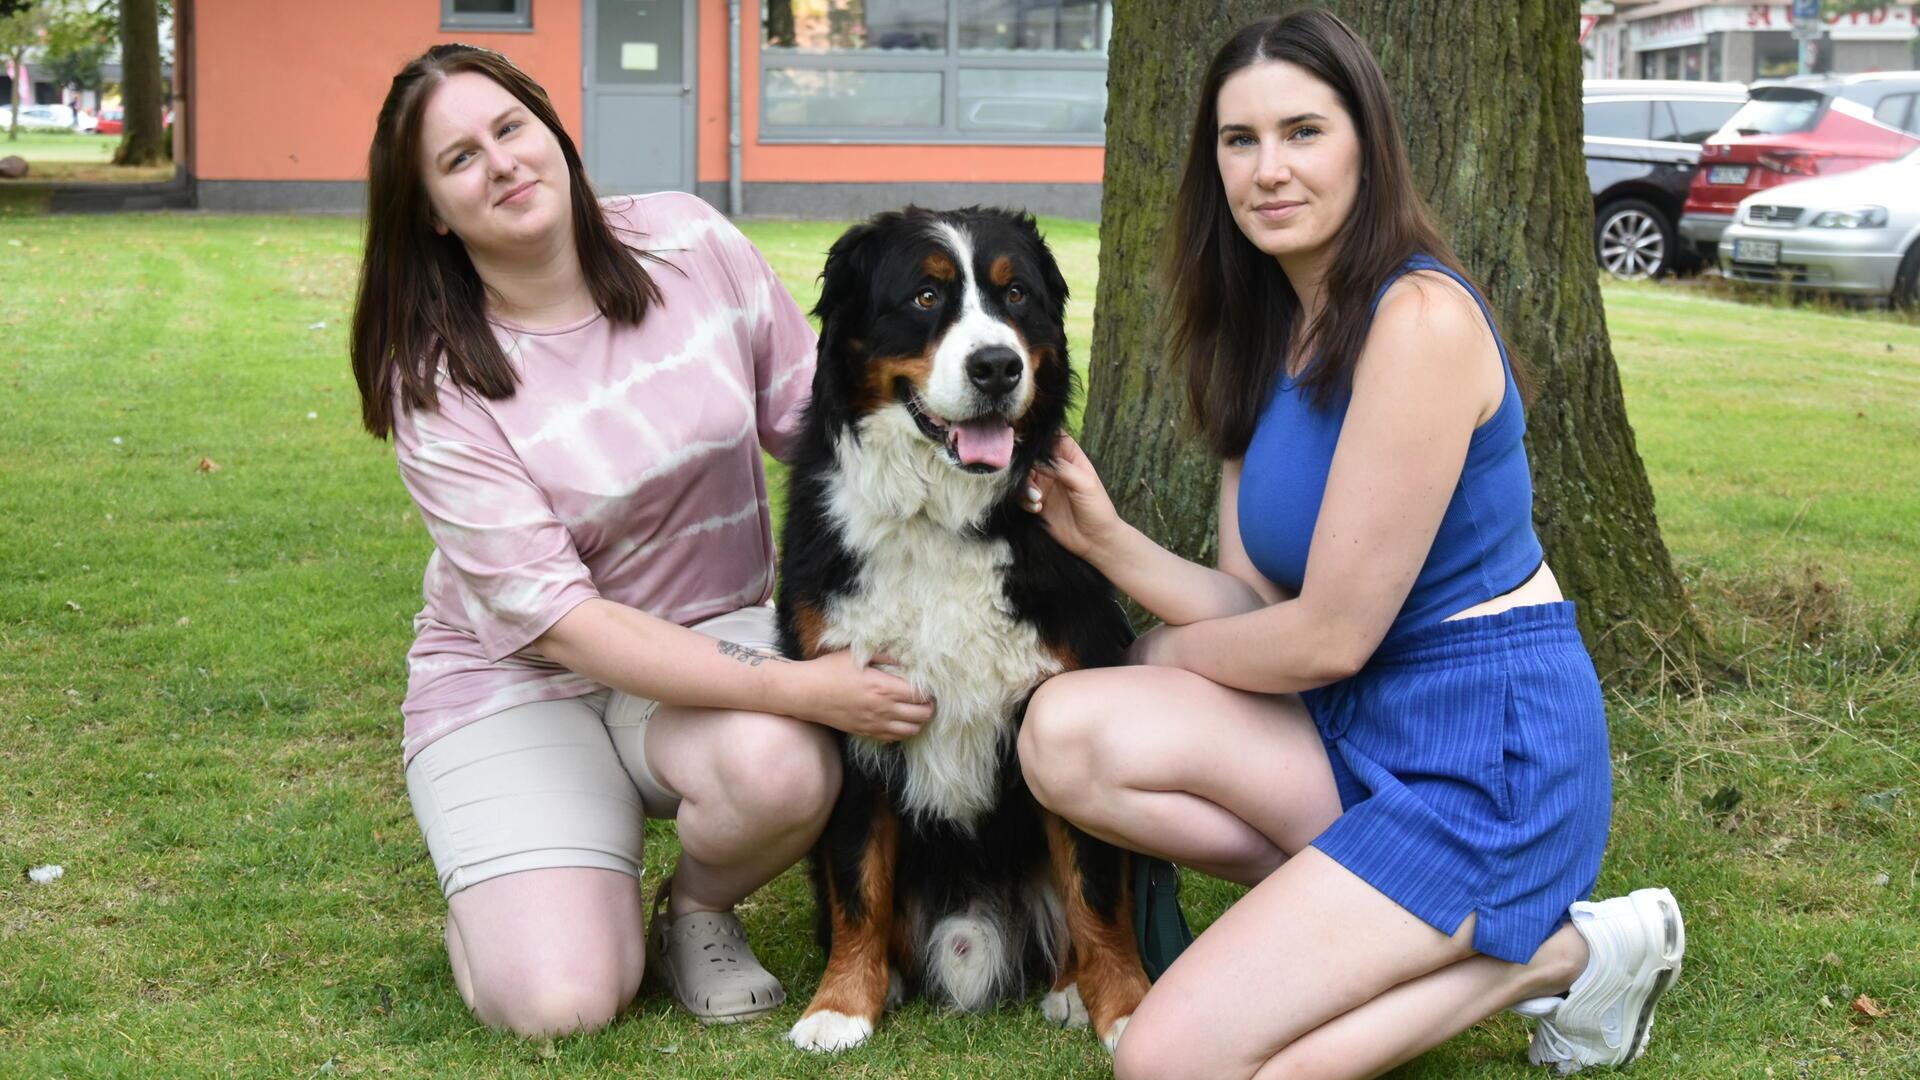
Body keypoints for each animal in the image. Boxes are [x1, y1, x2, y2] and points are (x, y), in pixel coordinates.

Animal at [771, 205, 1144, 1045]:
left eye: (1017, 296)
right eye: (925, 295)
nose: (996, 368)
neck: (943, 518)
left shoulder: (1065, 689)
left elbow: (1097, 889)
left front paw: (1129, 1009)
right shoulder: (852, 708)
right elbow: (857, 885)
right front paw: (840, 1005)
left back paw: (1072, 988)